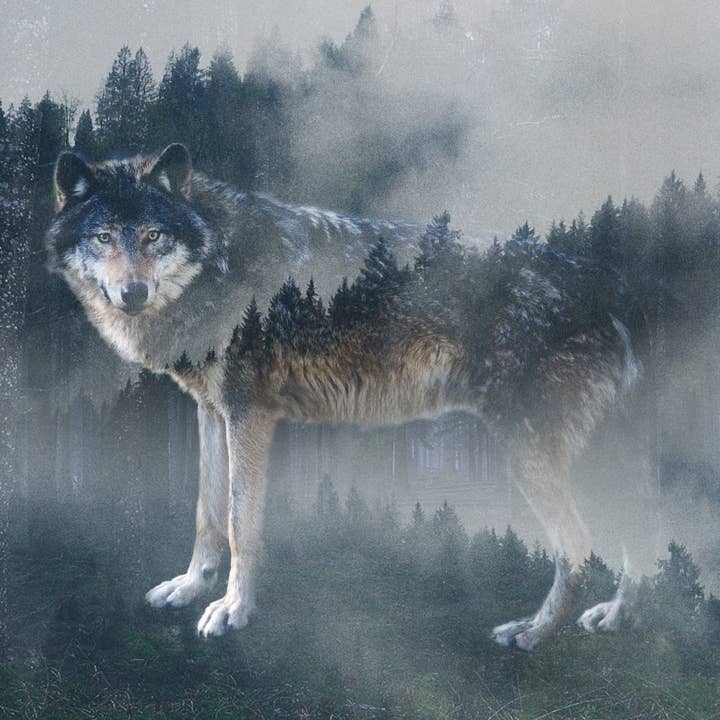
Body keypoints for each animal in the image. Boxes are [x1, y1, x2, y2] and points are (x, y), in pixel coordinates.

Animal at [46, 143, 640, 649]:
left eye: (153, 236)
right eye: (104, 237)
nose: (133, 293)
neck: (222, 259)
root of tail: (606, 286)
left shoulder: (249, 414)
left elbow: (240, 525)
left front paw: (234, 610)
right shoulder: (210, 412)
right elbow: (206, 516)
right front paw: (191, 588)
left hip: (527, 452)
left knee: (579, 548)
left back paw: (532, 633)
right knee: (640, 525)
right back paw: (616, 618)